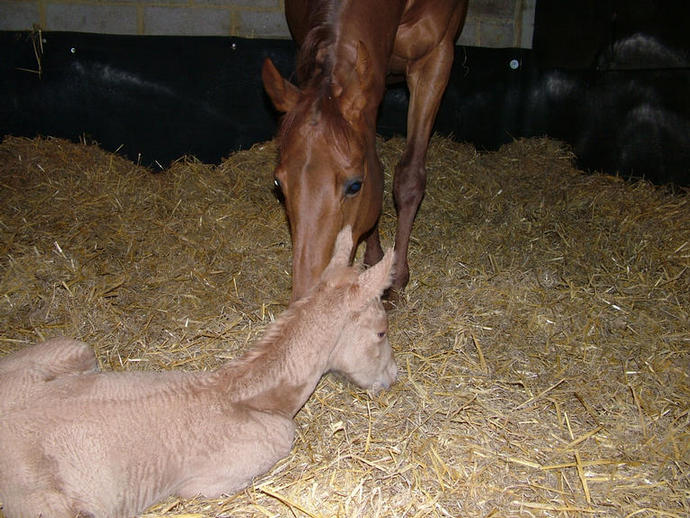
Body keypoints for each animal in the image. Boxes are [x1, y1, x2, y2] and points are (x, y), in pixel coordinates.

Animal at [264, 0, 468, 300]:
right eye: (279, 184)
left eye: (355, 186)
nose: (310, 298)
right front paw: (373, 262)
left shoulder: (435, 59)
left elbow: (408, 178)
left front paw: (395, 279)